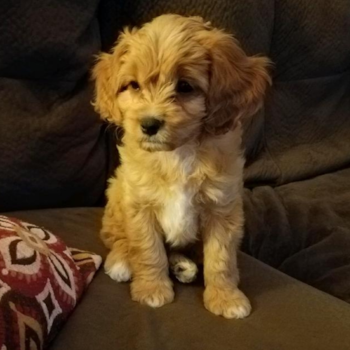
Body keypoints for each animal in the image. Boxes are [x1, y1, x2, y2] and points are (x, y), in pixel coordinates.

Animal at [91, 15, 270, 318]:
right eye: (134, 86)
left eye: (185, 86)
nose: (149, 124)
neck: (178, 154)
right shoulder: (139, 204)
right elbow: (148, 250)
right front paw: (152, 289)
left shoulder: (222, 208)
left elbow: (221, 258)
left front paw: (226, 298)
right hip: (116, 192)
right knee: (116, 237)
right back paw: (122, 261)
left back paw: (183, 265)